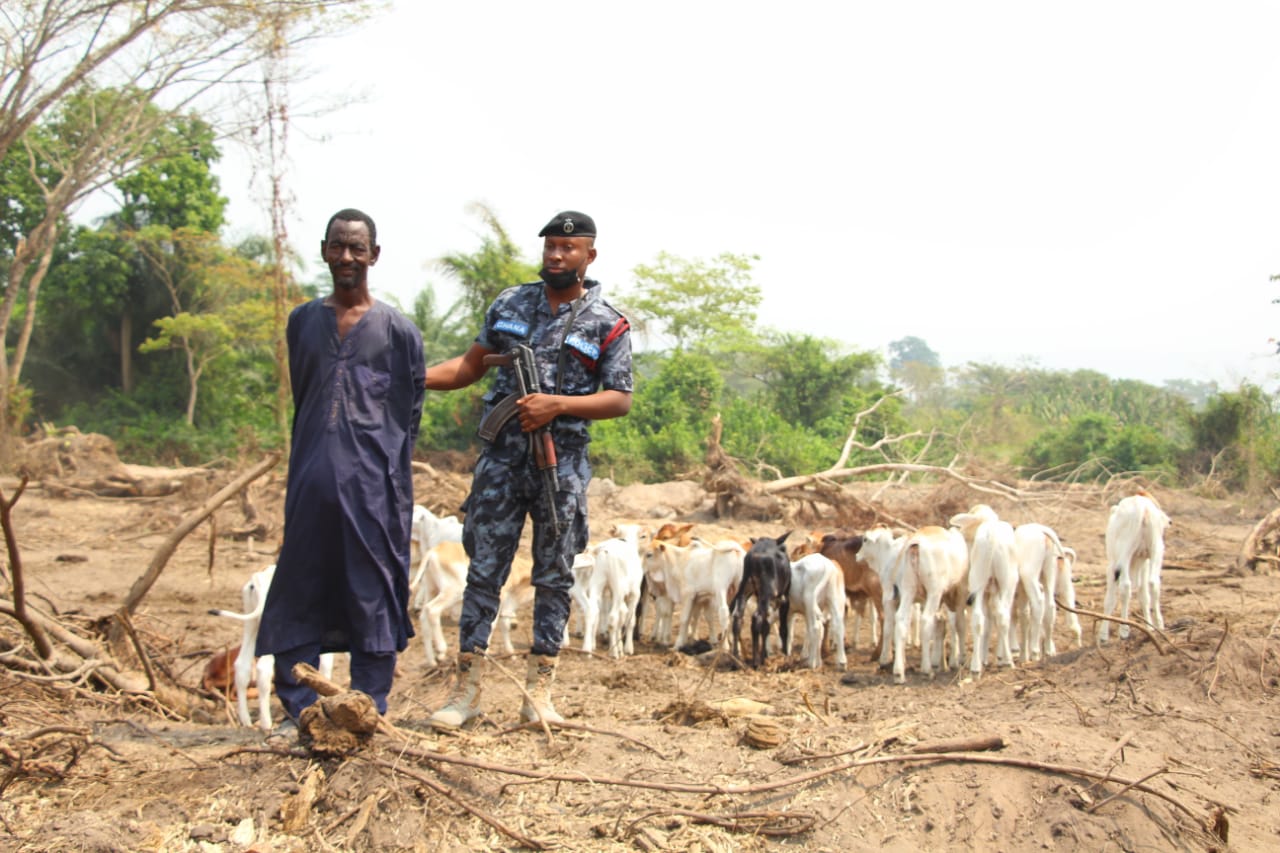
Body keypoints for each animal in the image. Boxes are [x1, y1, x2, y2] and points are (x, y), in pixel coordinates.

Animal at [732, 532, 788, 666]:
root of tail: (754, 557)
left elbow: (766, 626)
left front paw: (766, 654)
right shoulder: (785, 599)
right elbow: (783, 629)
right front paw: (785, 654)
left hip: (745, 589)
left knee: (738, 618)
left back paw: (736, 658)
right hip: (766, 595)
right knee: (756, 618)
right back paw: (756, 661)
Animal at [1100, 491, 1172, 637]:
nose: (1169, 521)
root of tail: (1143, 508)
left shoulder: (1112, 565)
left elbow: (1109, 600)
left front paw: (1103, 635)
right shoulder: (1144, 562)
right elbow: (1144, 596)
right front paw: (1149, 627)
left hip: (1124, 554)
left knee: (1125, 586)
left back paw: (1124, 629)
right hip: (1156, 550)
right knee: (1154, 583)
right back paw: (1159, 625)